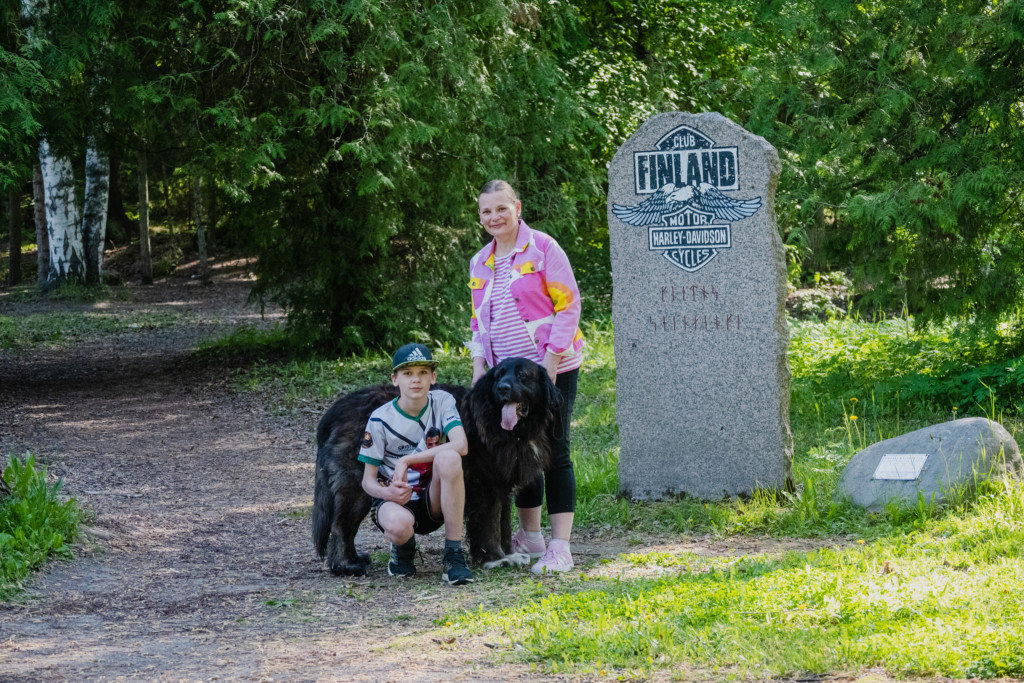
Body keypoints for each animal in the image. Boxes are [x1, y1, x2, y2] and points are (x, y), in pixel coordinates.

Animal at [309, 356, 557, 573]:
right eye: (499, 376)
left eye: (523, 375)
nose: (503, 388)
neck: (510, 429)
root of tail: (337, 408)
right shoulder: (485, 487)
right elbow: (490, 524)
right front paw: (495, 558)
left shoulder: (501, 484)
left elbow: (503, 524)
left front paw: (508, 554)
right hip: (357, 484)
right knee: (341, 526)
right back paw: (345, 566)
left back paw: (354, 559)